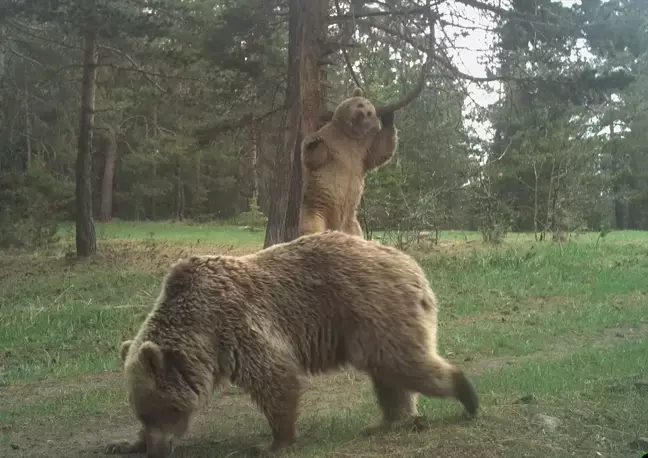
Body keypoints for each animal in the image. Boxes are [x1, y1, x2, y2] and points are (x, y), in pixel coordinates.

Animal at [106, 231, 478, 458]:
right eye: (141, 411)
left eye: (162, 409)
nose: (156, 449)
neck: (201, 333)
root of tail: (413, 265)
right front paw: (123, 443)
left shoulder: (237, 326)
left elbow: (275, 378)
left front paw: (272, 442)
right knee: (389, 375)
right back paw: (388, 421)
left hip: (375, 308)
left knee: (403, 363)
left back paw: (466, 396)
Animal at [300, 89, 400, 240]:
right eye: (359, 104)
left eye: (369, 112)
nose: (361, 114)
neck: (350, 135)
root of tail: (336, 228)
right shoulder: (331, 140)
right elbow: (313, 159)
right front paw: (314, 143)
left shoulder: (362, 151)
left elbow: (378, 153)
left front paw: (388, 117)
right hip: (316, 210)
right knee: (311, 227)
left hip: (352, 224)